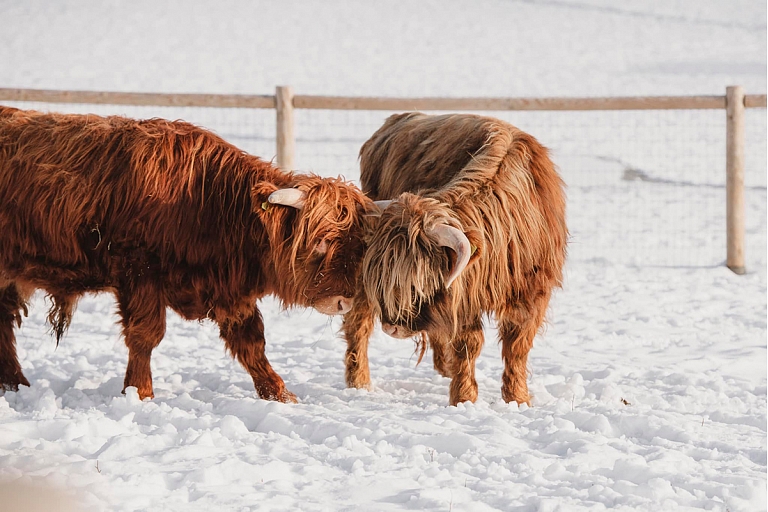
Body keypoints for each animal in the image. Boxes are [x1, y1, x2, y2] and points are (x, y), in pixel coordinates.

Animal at [0, 106, 372, 402]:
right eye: (321, 240)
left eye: (356, 242)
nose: (345, 300)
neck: (207, 202)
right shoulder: (139, 272)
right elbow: (145, 335)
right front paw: (139, 393)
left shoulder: (230, 292)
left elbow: (251, 342)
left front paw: (279, 393)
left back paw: (15, 384)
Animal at [344, 113, 568, 408]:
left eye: (418, 284)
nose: (393, 326)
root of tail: (398, 118)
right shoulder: (464, 298)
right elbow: (468, 344)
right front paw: (464, 398)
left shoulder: (532, 292)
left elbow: (517, 345)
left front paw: (517, 398)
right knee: (358, 321)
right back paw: (358, 381)